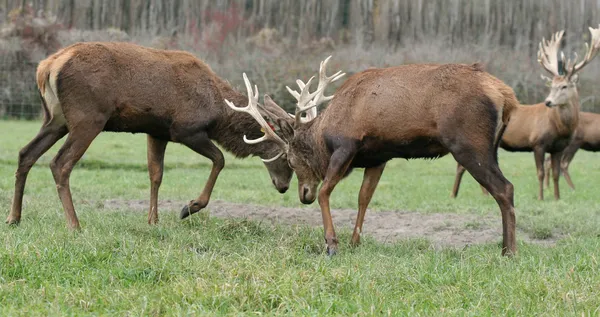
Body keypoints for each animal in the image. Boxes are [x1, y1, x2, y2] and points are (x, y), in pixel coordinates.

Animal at [5, 42, 292, 230]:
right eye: (287, 158)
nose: (284, 187)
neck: (217, 113)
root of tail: (47, 67)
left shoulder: (156, 131)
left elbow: (156, 174)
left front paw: (153, 220)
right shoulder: (185, 129)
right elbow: (220, 159)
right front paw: (189, 208)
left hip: (55, 119)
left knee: (25, 153)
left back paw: (14, 217)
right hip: (88, 117)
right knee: (60, 163)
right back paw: (74, 224)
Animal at [226, 56, 520, 254]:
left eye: (290, 159)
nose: (303, 195)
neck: (325, 134)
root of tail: (507, 96)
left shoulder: (346, 145)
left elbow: (326, 192)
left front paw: (332, 243)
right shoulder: (379, 157)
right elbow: (364, 198)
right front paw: (355, 242)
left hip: (469, 143)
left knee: (504, 188)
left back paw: (509, 251)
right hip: (489, 146)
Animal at [450, 27, 600, 200]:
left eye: (564, 86)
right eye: (552, 86)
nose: (548, 102)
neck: (560, 127)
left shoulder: (558, 148)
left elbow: (556, 174)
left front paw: (557, 197)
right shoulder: (538, 142)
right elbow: (540, 172)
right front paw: (541, 197)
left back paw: (482, 194)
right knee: (461, 166)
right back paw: (454, 194)